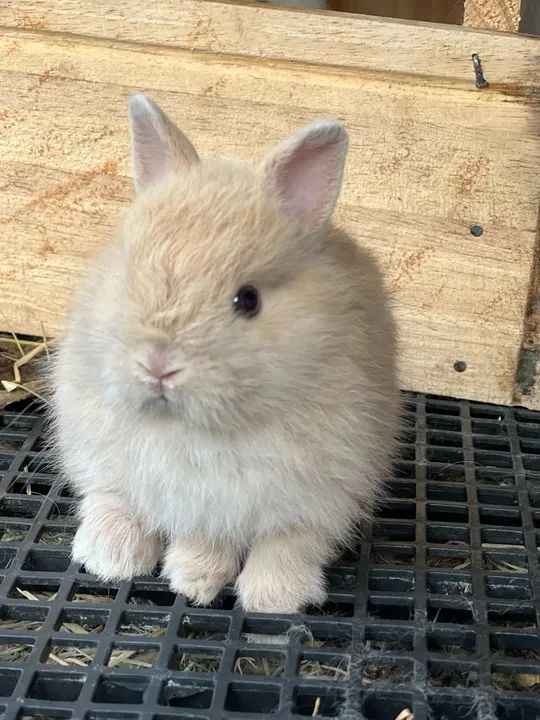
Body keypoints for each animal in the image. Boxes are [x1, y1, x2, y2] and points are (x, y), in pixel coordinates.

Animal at [51, 93, 400, 614]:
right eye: (131, 274)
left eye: (248, 300)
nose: (158, 365)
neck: (197, 430)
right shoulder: (197, 500)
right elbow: (201, 536)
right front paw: (194, 582)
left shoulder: (318, 493)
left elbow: (289, 541)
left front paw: (271, 598)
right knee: (109, 496)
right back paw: (111, 557)